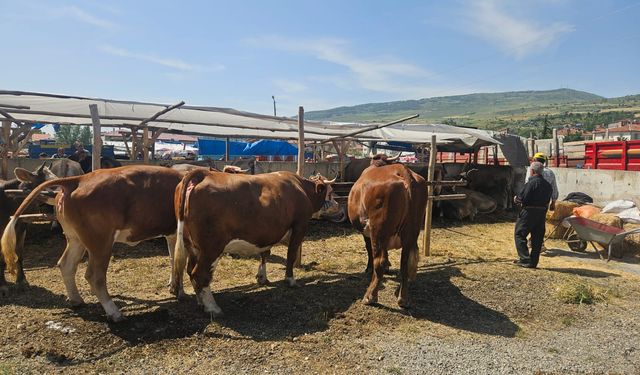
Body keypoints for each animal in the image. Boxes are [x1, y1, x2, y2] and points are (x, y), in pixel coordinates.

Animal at [1, 166, 182, 322]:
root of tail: (79, 179)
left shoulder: (172, 234)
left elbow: (174, 259)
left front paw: (175, 287)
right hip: (100, 243)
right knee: (94, 276)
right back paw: (114, 312)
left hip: (76, 239)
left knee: (66, 264)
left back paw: (76, 300)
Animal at [172, 170, 338, 318]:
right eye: (330, 192)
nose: (339, 207)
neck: (301, 188)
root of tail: (203, 173)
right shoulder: (299, 226)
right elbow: (291, 255)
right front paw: (290, 280)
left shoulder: (267, 234)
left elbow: (265, 254)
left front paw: (262, 277)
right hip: (211, 248)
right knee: (200, 274)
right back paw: (213, 308)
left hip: (192, 246)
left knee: (190, 271)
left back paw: (201, 302)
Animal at [348, 162, 428, 308]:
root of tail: (402, 170)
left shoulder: (367, 232)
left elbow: (369, 250)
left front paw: (369, 268)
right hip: (411, 231)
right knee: (404, 264)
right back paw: (403, 298)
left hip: (379, 230)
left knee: (379, 261)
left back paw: (370, 296)